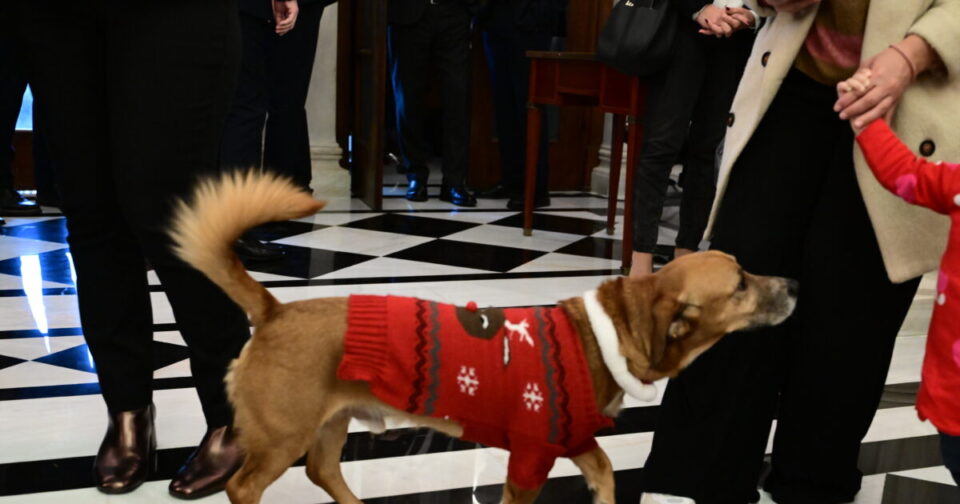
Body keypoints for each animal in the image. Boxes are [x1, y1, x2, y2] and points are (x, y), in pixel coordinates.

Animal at [169, 173, 800, 504]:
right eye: (741, 284)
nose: (795, 283)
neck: (610, 331)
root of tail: (274, 311)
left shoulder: (576, 443)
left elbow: (604, 474)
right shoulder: (530, 460)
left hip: (331, 423)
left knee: (324, 472)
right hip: (283, 436)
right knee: (245, 486)